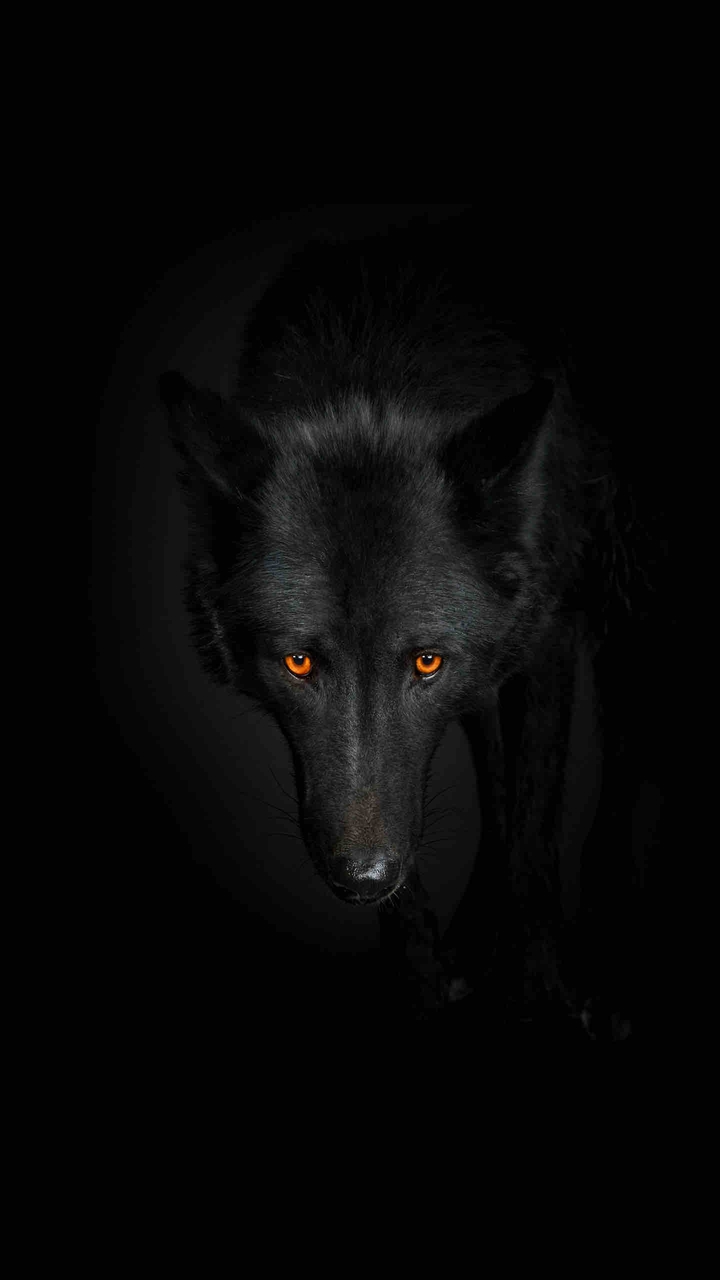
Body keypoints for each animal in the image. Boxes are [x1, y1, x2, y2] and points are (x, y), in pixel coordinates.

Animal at [159, 212, 661, 1041]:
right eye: (298, 664)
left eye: (424, 662)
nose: (363, 875)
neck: (377, 358)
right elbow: (437, 824)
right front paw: (423, 990)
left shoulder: (546, 638)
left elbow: (535, 825)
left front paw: (535, 998)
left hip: (626, 580)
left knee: (624, 750)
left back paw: (612, 968)